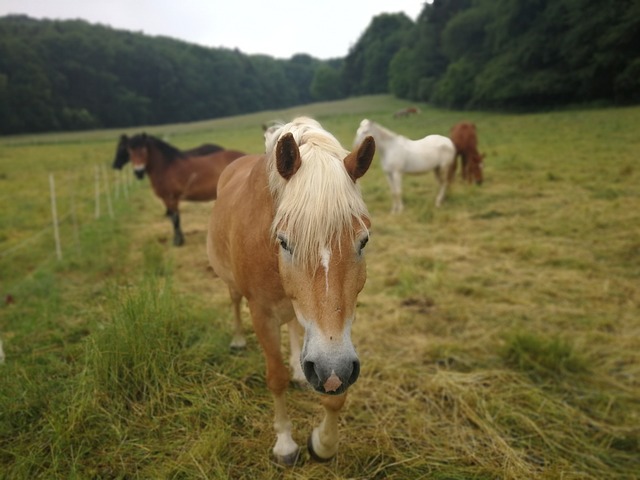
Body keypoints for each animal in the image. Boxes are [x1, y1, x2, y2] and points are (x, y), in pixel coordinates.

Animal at [112, 133, 245, 246]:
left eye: (144, 150)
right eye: (129, 151)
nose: (138, 172)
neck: (166, 167)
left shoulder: (171, 198)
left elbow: (175, 219)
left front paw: (177, 241)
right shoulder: (167, 200)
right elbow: (173, 217)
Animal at [208, 117, 376, 464]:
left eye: (364, 240)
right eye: (283, 242)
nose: (330, 369)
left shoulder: (340, 334)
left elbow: (336, 394)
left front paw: (323, 444)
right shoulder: (262, 314)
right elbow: (276, 378)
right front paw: (285, 444)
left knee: (297, 328)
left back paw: (300, 371)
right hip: (233, 285)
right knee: (233, 301)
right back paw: (238, 340)